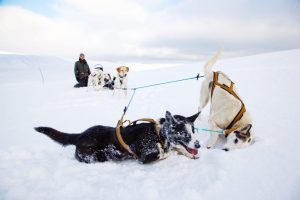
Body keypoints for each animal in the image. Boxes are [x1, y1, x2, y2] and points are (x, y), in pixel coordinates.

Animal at [34, 111, 199, 164]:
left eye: (194, 130)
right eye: (184, 134)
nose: (198, 145)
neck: (158, 133)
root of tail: (80, 135)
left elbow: (177, 149)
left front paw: (190, 154)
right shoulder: (145, 156)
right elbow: (163, 153)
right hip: (93, 157)